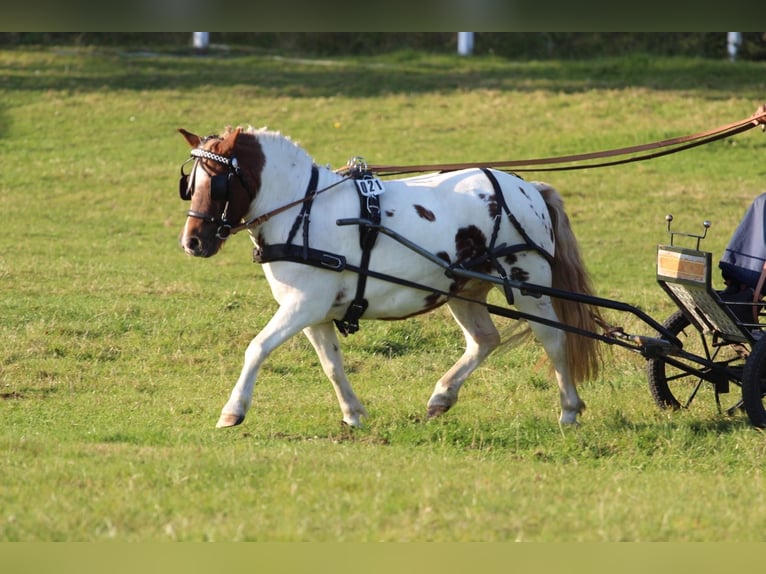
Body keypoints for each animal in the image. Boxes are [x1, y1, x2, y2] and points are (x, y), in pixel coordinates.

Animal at [177, 127, 604, 432]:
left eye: (218, 182)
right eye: (189, 186)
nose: (191, 242)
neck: (304, 211)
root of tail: (528, 187)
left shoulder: (303, 306)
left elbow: (257, 347)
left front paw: (232, 411)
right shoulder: (313, 314)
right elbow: (332, 364)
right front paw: (353, 413)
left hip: (530, 285)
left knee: (554, 339)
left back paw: (569, 410)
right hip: (464, 289)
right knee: (485, 340)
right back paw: (442, 396)